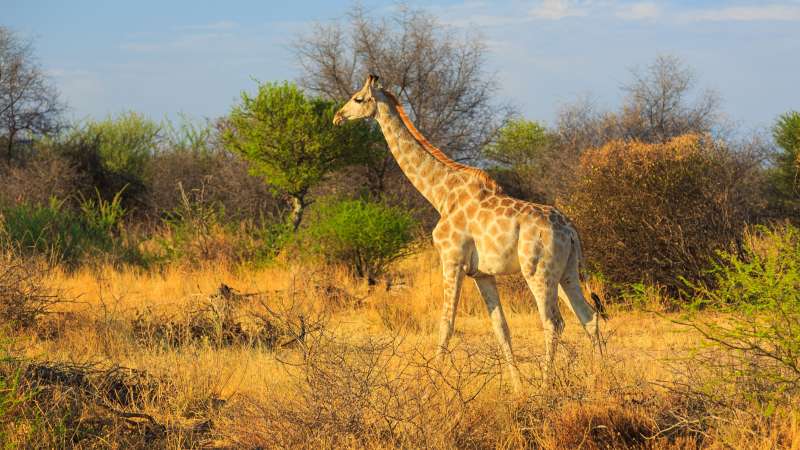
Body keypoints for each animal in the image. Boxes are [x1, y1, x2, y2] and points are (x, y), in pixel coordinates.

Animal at [334, 74, 603, 389]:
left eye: (358, 98)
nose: (337, 117)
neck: (440, 194)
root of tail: (571, 231)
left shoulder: (452, 261)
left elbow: (446, 323)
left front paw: (430, 387)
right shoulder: (482, 273)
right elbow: (501, 328)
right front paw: (517, 387)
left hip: (538, 272)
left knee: (554, 322)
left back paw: (547, 386)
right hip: (566, 273)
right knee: (589, 316)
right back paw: (602, 378)